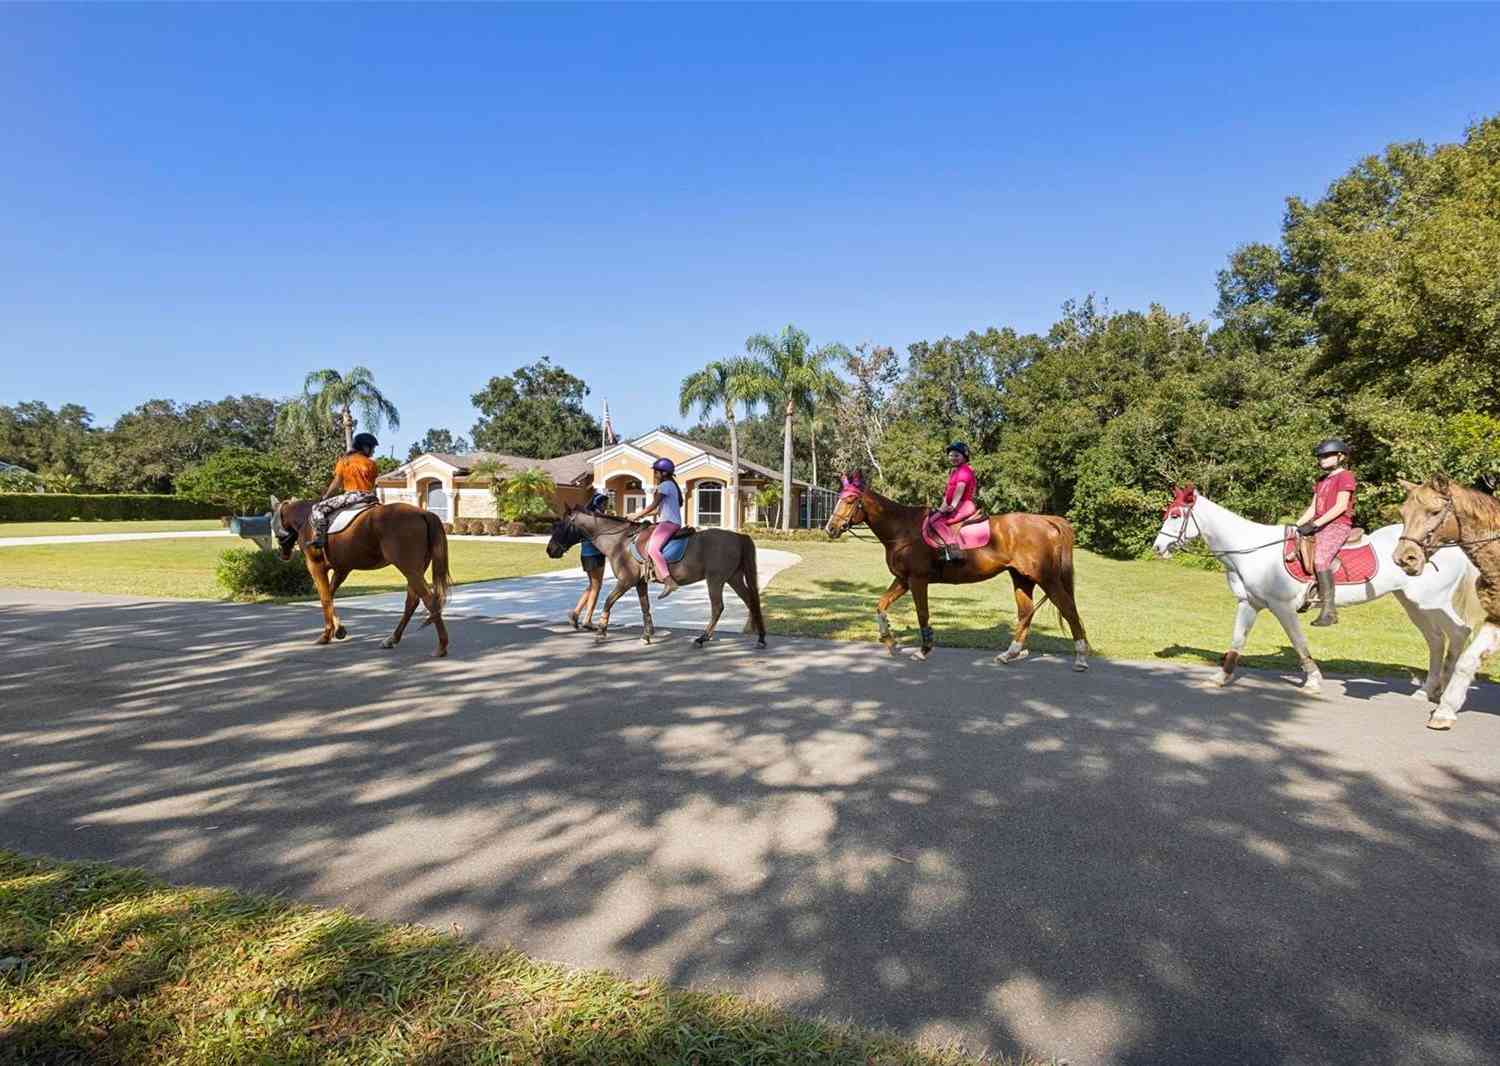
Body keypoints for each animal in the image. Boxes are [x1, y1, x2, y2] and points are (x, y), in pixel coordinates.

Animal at [271, 497, 450, 659]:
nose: (282, 554)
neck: (306, 520)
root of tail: (423, 513)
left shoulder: (316, 566)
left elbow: (325, 599)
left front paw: (327, 634)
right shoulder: (342, 570)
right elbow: (330, 594)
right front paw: (339, 629)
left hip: (409, 569)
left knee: (430, 601)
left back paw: (442, 646)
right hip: (415, 570)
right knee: (412, 602)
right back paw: (392, 639)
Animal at [822, 473, 1092, 665]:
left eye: (849, 500)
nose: (830, 529)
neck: (903, 530)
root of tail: (1046, 520)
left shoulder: (917, 580)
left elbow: (922, 614)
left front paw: (924, 649)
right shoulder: (903, 580)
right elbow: (880, 605)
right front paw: (888, 639)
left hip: (1047, 578)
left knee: (1068, 609)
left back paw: (1080, 657)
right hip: (1022, 578)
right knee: (1026, 612)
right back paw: (1010, 654)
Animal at [1152, 485, 1482, 701]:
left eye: (1176, 515)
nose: (1157, 548)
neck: (1251, 549)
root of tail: (1451, 545)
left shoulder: (1282, 607)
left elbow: (1298, 642)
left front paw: (1313, 680)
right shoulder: (1249, 604)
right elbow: (1237, 641)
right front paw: (1221, 677)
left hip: (1432, 601)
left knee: (1459, 632)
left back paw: (1443, 691)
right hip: (1413, 604)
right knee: (1436, 640)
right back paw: (1426, 690)